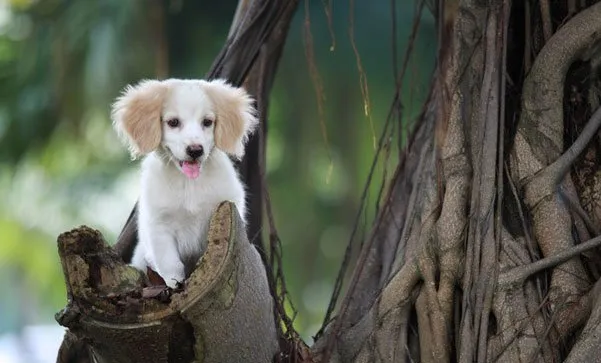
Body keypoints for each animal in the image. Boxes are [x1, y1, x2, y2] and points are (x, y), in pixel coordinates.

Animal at [111, 78, 256, 288]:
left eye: (207, 122)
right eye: (173, 122)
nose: (195, 150)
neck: (189, 183)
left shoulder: (227, 210)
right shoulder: (159, 226)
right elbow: (169, 263)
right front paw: (175, 284)